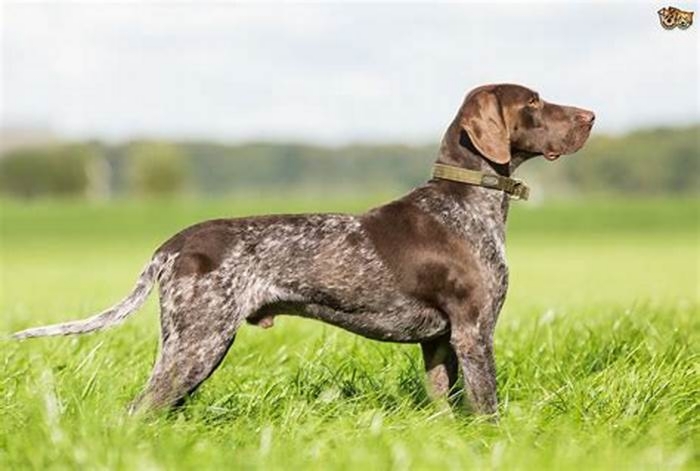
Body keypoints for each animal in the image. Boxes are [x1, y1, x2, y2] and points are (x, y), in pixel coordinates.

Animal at [10, 85, 592, 416]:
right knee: (139, 410)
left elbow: (446, 409)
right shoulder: (474, 332)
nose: (590, 115)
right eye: (533, 102)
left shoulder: (439, 342)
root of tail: (172, 246)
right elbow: (488, 407)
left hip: (192, 346)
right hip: (198, 344)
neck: (466, 203)